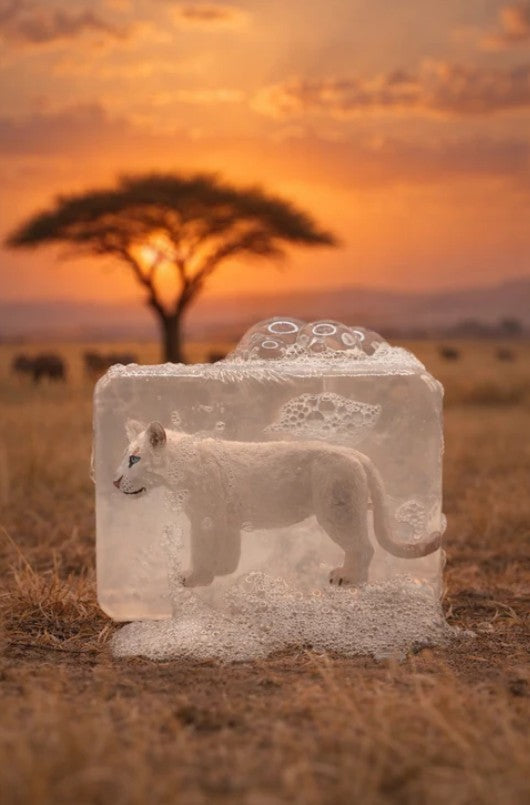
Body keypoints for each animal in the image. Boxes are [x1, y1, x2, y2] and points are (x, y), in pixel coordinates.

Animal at [113, 421, 442, 588]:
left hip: (337, 511)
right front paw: (223, 571)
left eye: (134, 459)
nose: (115, 482)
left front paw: (193, 578)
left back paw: (347, 578)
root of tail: (355, 454)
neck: (177, 470)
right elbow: (229, 551)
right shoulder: (225, 521)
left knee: (363, 547)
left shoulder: (205, 518)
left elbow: (201, 550)